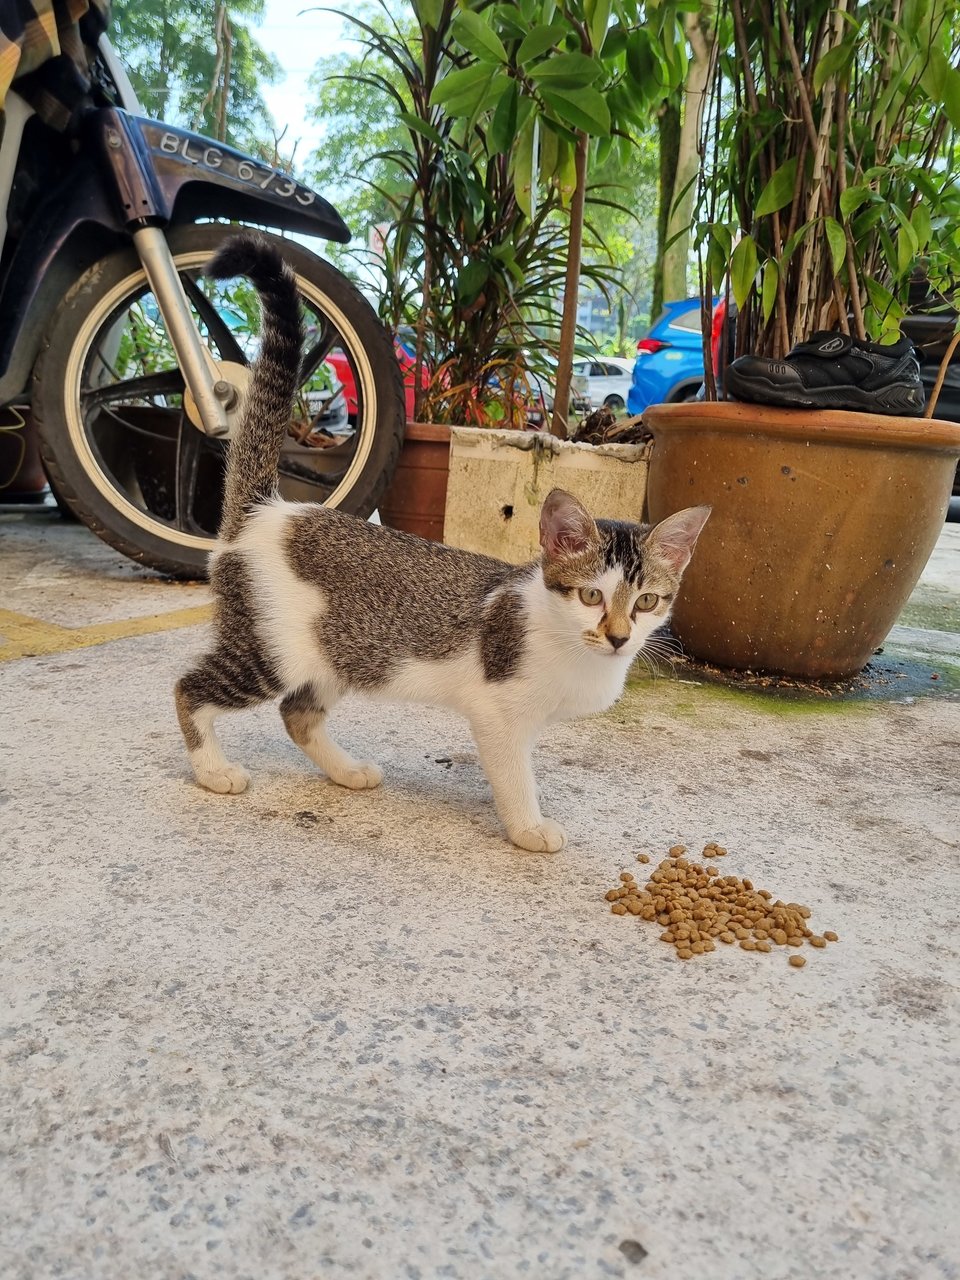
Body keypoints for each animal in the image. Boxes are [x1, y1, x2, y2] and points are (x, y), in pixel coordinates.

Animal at [175, 235, 716, 855]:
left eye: (647, 601)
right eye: (591, 596)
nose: (620, 637)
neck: (563, 638)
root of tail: (268, 510)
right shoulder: (497, 713)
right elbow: (513, 772)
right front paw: (528, 826)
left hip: (340, 651)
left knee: (297, 712)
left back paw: (346, 770)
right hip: (272, 648)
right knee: (191, 687)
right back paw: (213, 770)